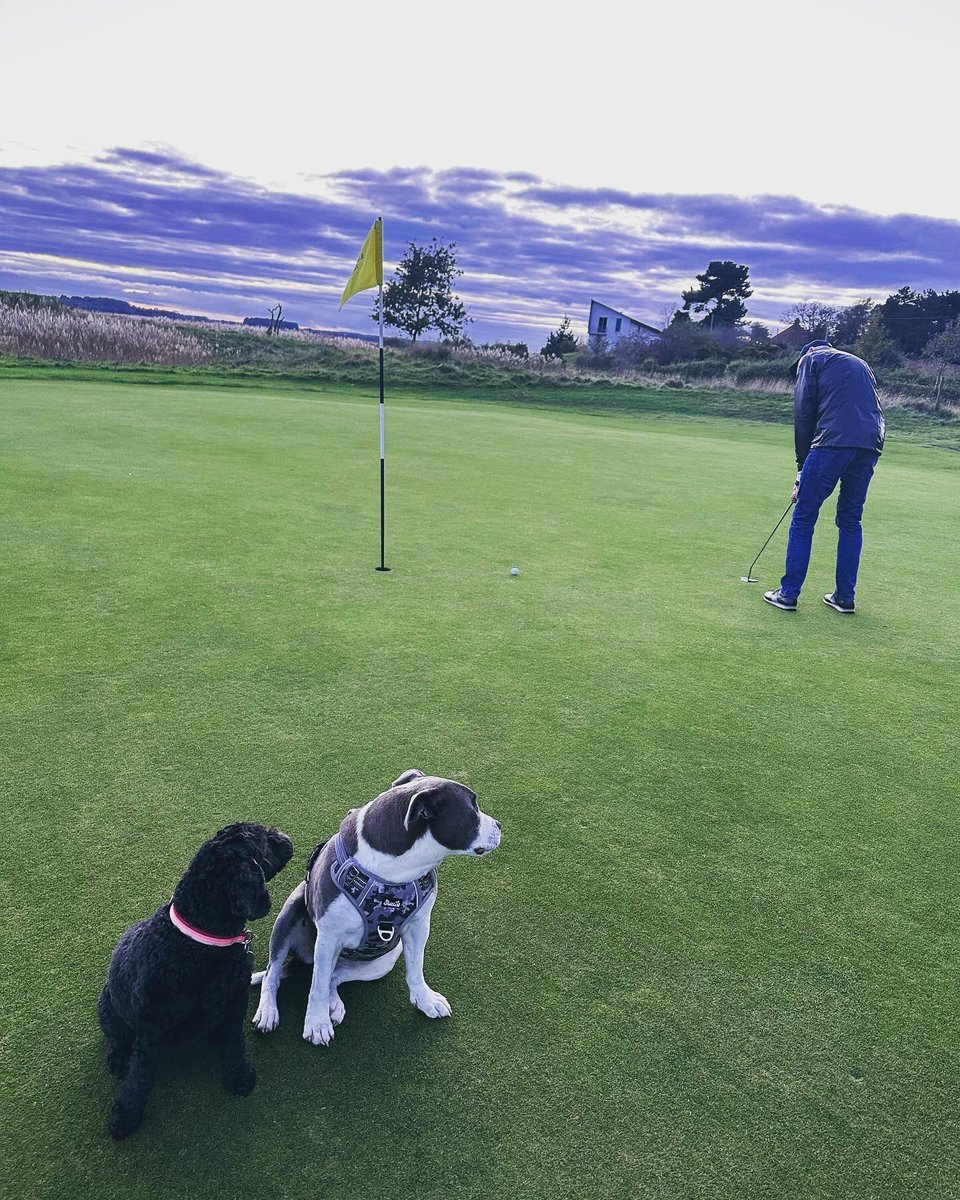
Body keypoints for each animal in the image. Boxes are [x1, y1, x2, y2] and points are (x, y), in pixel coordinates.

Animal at [97, 820, 294, 1137]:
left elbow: (234, 1044)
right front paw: (125, 1115)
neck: (199, 939)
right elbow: (138, 1079)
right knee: (116, 1038)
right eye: (263, 837)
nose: (286, 838)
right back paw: (117, 1059)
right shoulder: (150, 1031)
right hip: (109, 1009)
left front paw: (237, 1075)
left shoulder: (235, 999)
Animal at [247, 772, 501, 1046]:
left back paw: (334, 1004)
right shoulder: (328, 937)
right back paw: (268, 1011)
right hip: (289, 914)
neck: (396, 871)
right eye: (473, 809)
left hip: (384, 961)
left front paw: (425, 999)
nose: (500, 825)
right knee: (276, 973)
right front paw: (316, 1023)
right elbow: (316, 987)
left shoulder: (419, 926)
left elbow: (416, 969)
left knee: (334, 976)